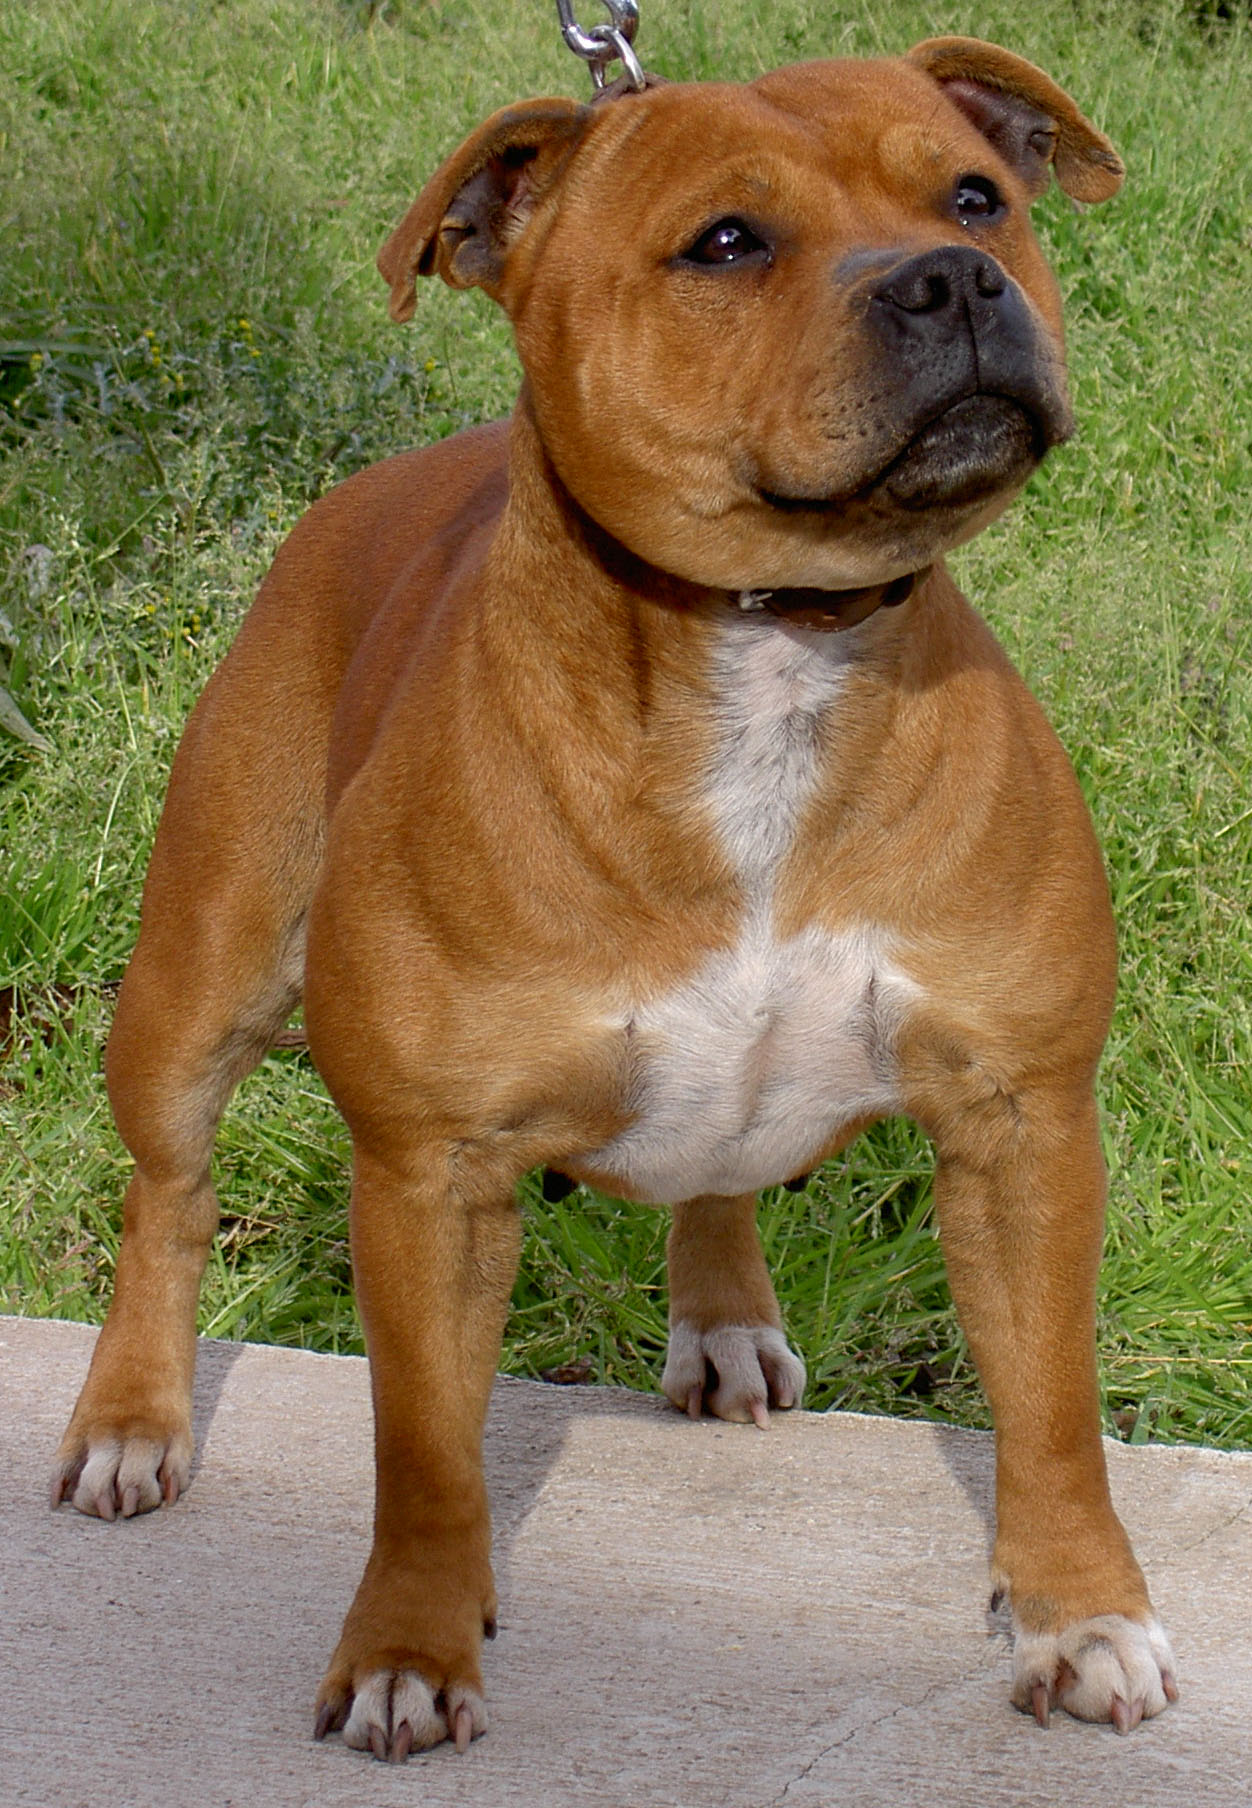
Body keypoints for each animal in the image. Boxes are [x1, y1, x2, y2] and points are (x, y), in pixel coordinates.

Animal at [56, 35, 1172, 1764]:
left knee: (714, 1179)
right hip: (193, 987)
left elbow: (1050, 1410)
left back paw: (721, 1320)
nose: (953, 278)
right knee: (164, 1196)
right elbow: (423, 1457)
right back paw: (130, 1419)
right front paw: (409, 1646)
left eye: (979, 196)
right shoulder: (433, 1177)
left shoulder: (1023, 1123)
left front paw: (1080, 1615)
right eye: (725, 243)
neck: (774, 646)